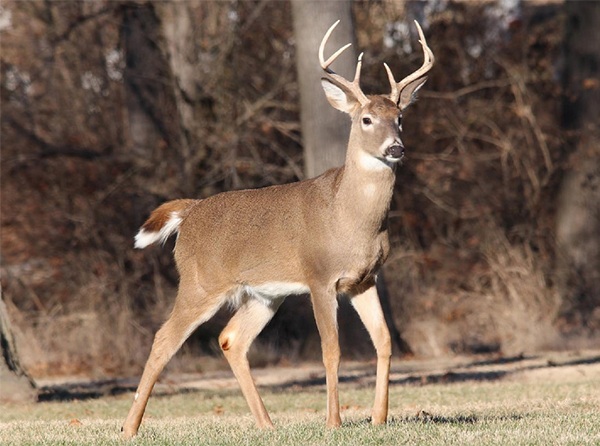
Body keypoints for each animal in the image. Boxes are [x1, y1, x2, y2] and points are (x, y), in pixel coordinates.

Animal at [122, 19, 434, 438]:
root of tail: (189, 213)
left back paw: (266, 424)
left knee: (231, 339)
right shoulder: (319, 277)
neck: (352, 220)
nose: (395, 148)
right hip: (200, 282)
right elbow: (331, 350)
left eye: (400, 118)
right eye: (365, 119)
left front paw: (378, 418)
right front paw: (334, 422)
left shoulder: (364, 279)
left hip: (264, 294)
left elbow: (383, 341)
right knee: (163, 338)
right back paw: (129, 428)